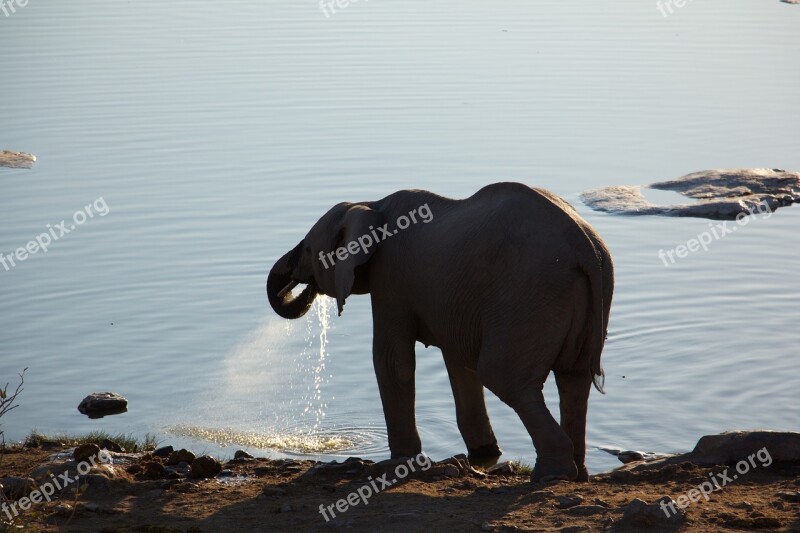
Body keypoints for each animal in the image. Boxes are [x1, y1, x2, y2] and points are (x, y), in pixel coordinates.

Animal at [268, 183, 612, 482]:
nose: (301, 285)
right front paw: (483, 452)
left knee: (505, 378)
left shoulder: (390, 277)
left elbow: (393, 362)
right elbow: (458, 364)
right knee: (574, 380)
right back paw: (578, 474)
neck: (370, 205)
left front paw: (402, 463)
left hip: (529, 295)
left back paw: (551, 476)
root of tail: (586, 246)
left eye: (309, 249)